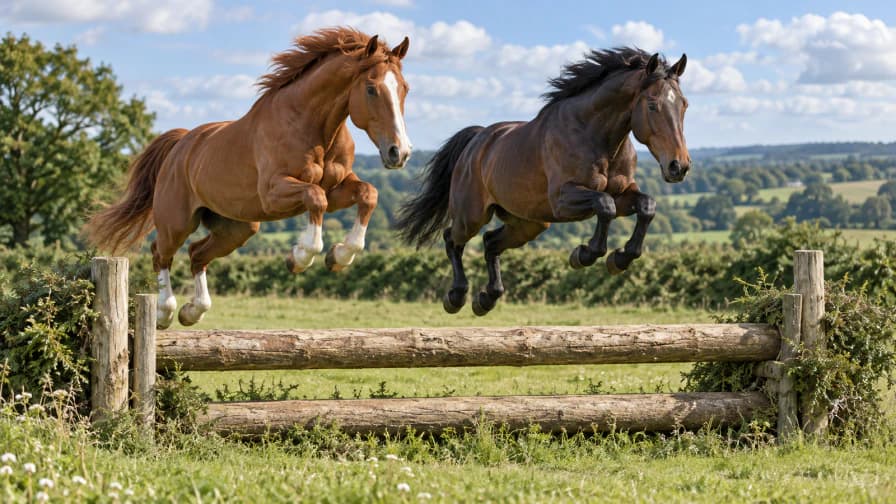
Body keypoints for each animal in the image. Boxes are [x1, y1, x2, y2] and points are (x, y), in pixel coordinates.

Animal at [85, 28, 412, 329]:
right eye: (371, 89)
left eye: (405, 89)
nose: (400, 152)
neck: (312, 126)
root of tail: (180, 145)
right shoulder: (274, 193)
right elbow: (315, 198)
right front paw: (299, 256)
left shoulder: (336, 190)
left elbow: (368, 194)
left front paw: (339, 255)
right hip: (177, 222)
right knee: (161, 253)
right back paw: (165, 313)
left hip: (237, 228)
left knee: (196, 254)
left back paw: (193, 311)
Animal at [395, 48, 690, 316]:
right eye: (652, 105)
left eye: (684, 105)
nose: (679, 166)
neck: (597, 137)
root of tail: (477, 140)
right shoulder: (563, 200)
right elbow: (605, 205)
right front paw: (584, 254)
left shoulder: (624, 194)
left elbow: (646, 206)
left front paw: (619, 259)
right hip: (472, 215)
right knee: (452, 239)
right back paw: (456, 297)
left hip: (529, 223)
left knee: (490, 242)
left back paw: (486, 299)